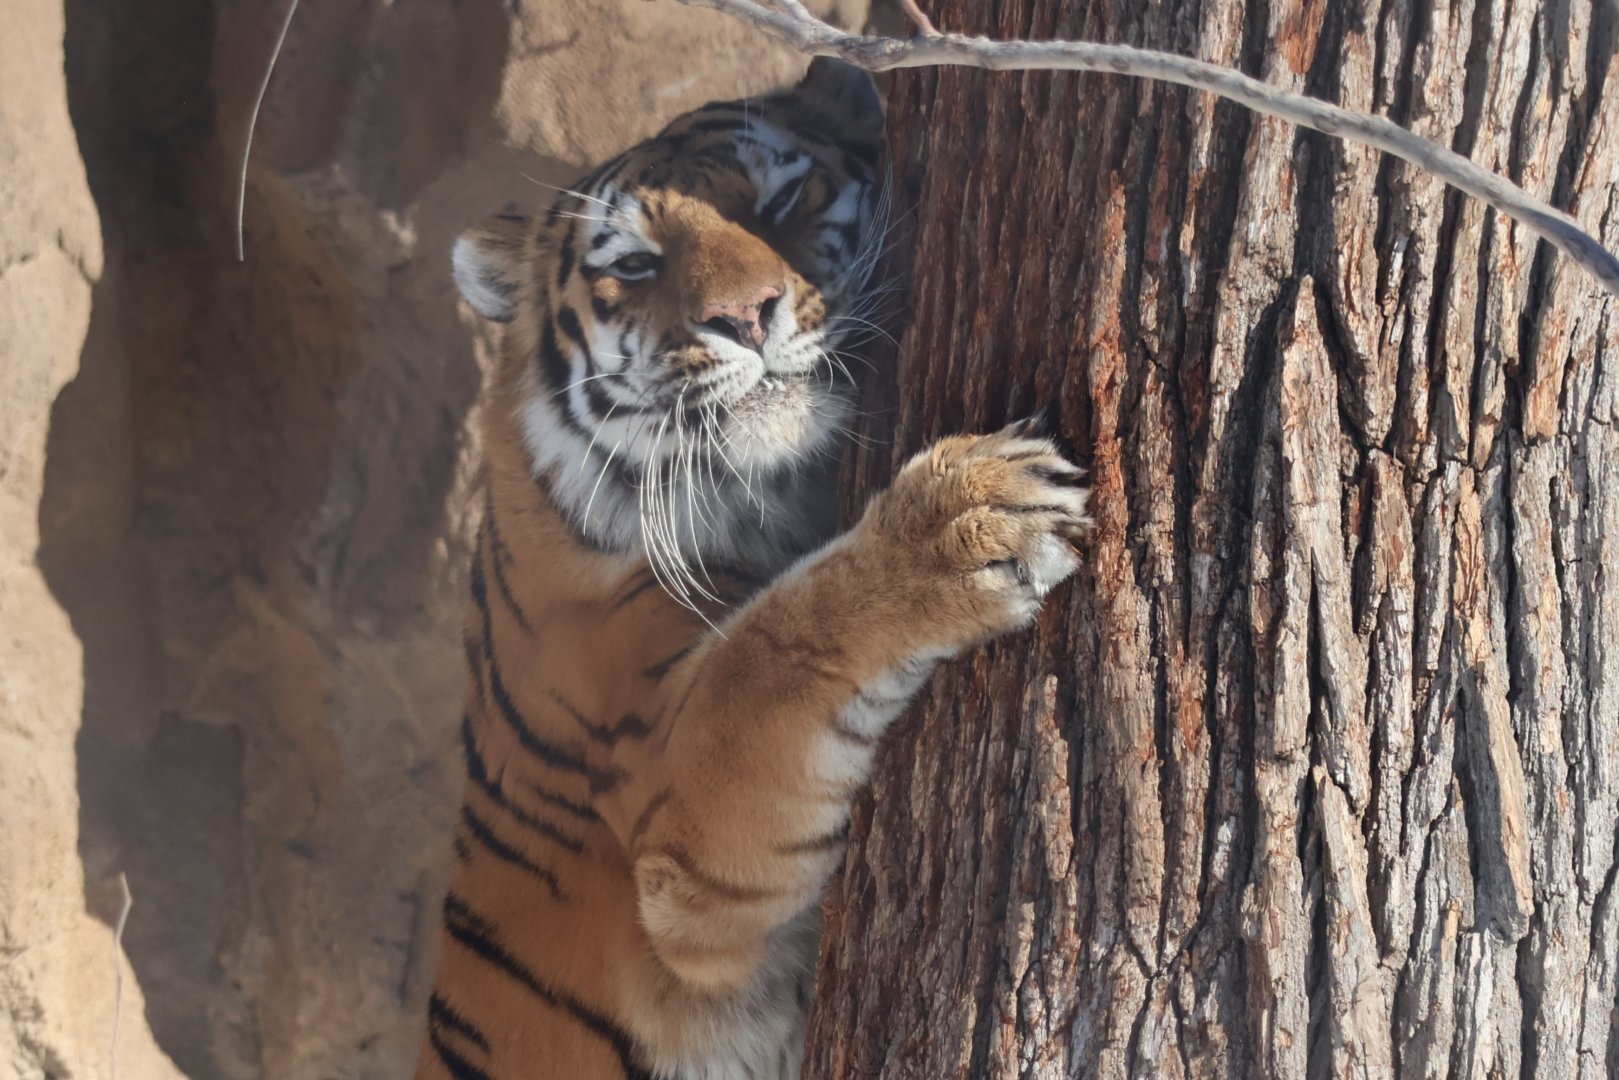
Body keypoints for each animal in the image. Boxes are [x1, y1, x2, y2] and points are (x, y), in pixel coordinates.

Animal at [419, 58, 1090, 1080]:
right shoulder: (665, 785)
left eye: (781, 199)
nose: (743, 317)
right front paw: (967, 515)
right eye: (634, 264)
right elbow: (772, 645)